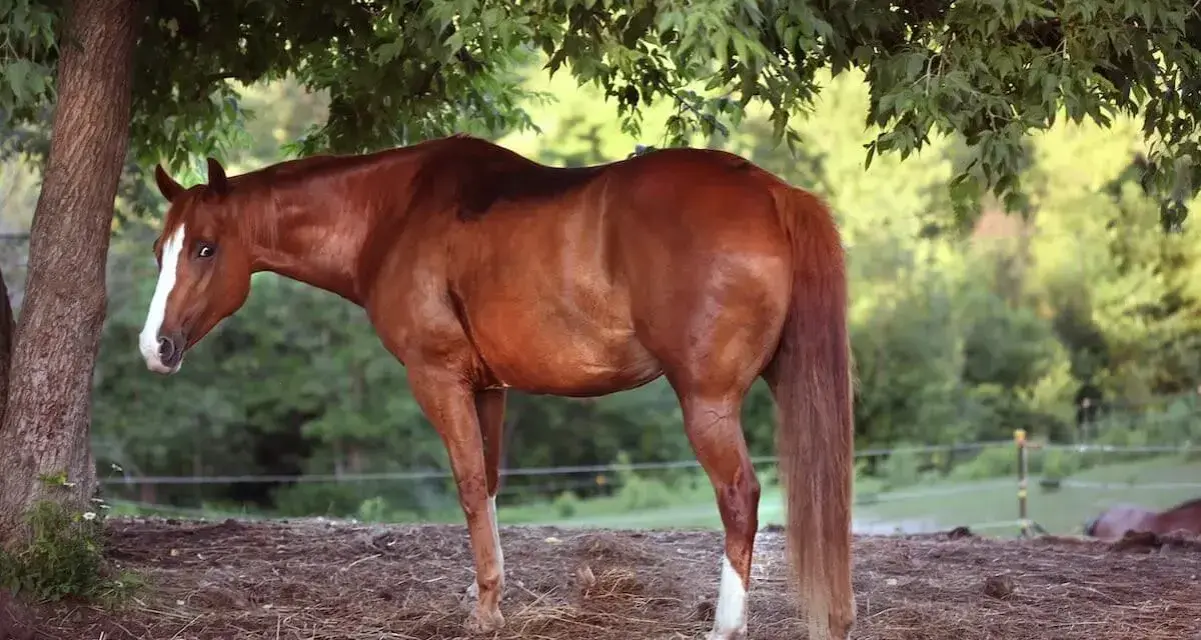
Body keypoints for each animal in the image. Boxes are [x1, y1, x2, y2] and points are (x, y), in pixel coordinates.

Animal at [137, 134, 855, 640]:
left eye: (205, 248)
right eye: (159, 250)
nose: (154, 347)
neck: (392, 213)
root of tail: (770, 192)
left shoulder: (438, 378)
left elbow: (465, 485)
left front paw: (484, 612)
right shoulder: (488, 389)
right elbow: (486, 483)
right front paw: (488, 595)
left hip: (707, 403)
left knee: (740, 496)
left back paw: (726, 625)